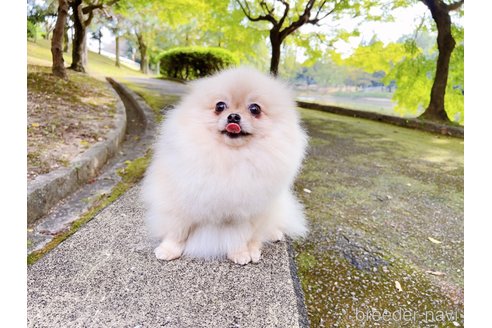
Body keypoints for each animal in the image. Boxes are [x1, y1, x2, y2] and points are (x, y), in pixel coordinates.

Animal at [140, 66, 308, 264]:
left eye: (255, 109)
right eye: (220, 106)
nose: (233, 116)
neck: (229, 158)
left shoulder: (244, 211)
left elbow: (239, 236)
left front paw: (239, 253)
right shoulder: (182, 201)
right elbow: (177, 231)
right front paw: (169, 250)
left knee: (262, 232)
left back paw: (264, 241)